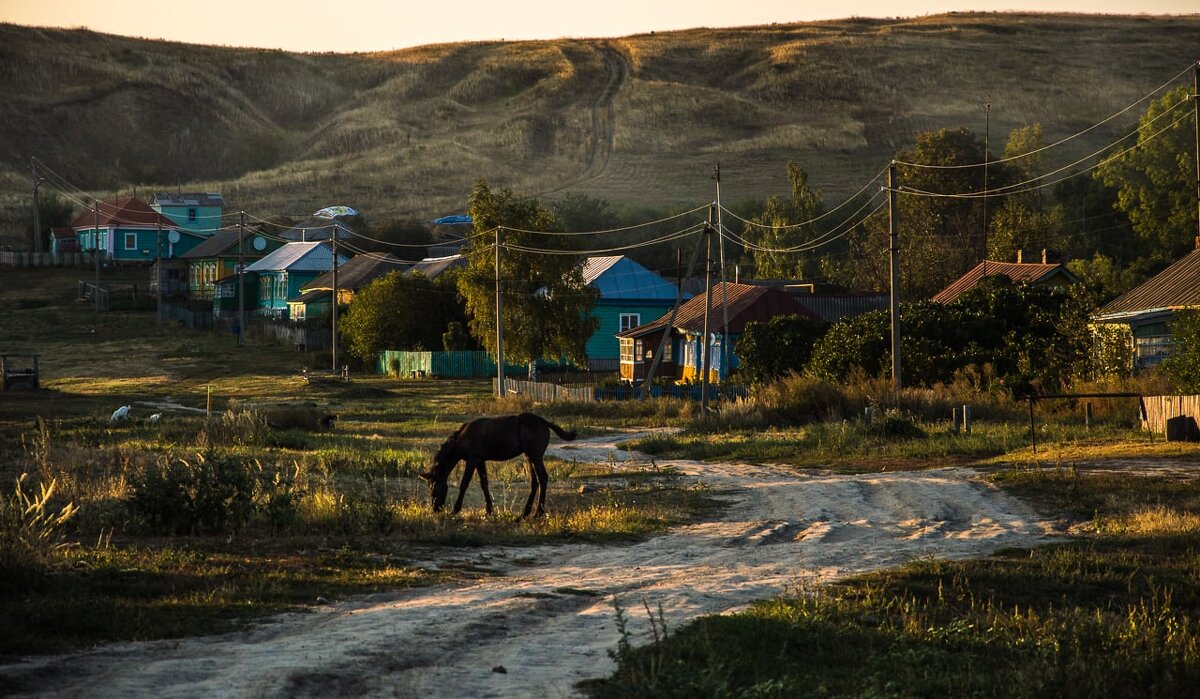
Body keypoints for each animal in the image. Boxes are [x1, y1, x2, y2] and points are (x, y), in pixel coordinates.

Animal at [417, 413, 576, 518]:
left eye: (433, 486)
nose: (435, 508)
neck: (461, 439)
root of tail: (545, 422)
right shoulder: (480, 461)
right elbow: (484, 483)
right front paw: (489, 510)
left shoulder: (472, 460)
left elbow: (464, 484)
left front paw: (455, 510)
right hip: (529, 457)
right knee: (535, 481)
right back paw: (525, 513)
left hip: (535, 456)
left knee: (542, 478)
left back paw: (538, 512)